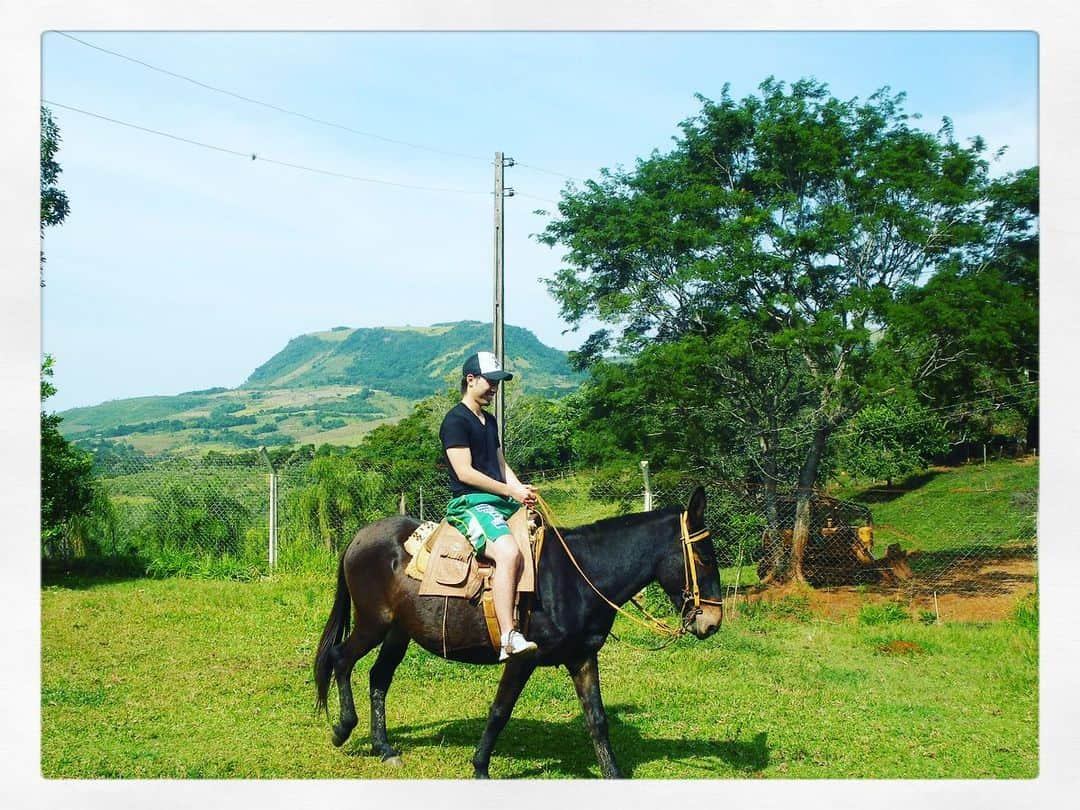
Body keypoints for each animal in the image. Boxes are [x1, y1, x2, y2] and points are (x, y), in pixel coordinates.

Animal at [313, 486, 721, 777]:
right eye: (703, 558)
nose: (713, 622)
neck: (575, 577)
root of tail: (360, 537)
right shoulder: (521, 658)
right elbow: (500, 711)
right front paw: (480, 767)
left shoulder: (582, 657)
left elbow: (598, 720)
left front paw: (614, 774)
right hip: (373, 623)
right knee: (340, 659)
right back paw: (343, 729)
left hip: (399, 631)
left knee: (378, 677)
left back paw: (384, 749)